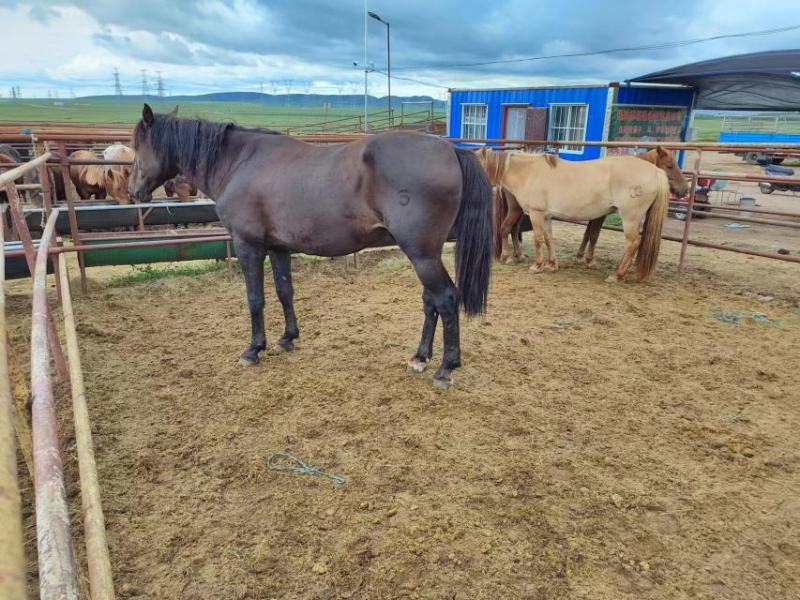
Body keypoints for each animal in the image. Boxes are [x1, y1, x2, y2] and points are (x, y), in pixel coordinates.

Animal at [128, 104, 493, 389]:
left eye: (136, 146)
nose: (134, 192)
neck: (239, 162)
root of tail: (451, 150)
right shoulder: (278, 247)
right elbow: (284, 291)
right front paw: (287, 338)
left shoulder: (248, 244)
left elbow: (255, 298)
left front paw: (253, 349)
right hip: (423, 253)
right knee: (431, 301)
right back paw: (420, 357)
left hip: (421, 253)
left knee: (445, 299)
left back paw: (445, 369)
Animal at [477, 148, 669, 282]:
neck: (529, 172)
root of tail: (656, 172)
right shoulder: (546, 216)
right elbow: (548, 239)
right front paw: (551, 264)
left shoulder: (536, 214)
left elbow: (538, 239)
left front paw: (537, 266)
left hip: (630, 218)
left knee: (633, 243)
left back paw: (616, 275)